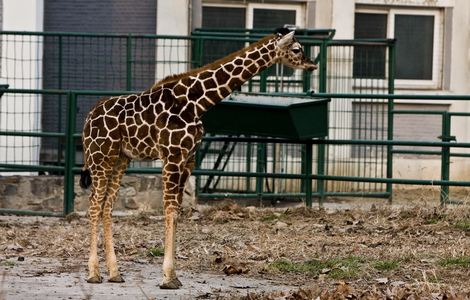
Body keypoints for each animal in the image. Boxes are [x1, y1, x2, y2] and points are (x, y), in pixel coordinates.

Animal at [81, 28, 318, 288]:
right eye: (296, 49)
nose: (312, 64)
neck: (196, 102)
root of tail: (88, 119)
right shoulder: (172, 155)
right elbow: (169, 209)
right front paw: (168, 277)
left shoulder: (188, 159)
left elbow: (177, 211)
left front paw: (174, 276)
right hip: (100, 156)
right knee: (94, 204)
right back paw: (93, 274)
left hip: (120, 159)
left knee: (107, 206)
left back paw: (115, 273)